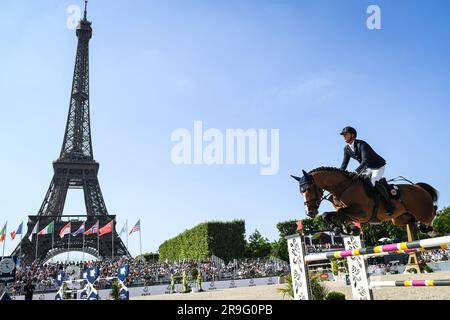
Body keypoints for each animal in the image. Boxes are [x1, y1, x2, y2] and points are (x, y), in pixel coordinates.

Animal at [290, 166, 438, 236]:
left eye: (308, 189)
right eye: (301, 192)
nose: (310, 213)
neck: (343, 188)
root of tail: (418, 187)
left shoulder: (362, 213)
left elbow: (341, 213)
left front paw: (347, 230)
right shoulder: (351, 215)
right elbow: (328, 215)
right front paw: (345, 229)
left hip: (423, 211)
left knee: (432, 213)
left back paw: (430, 230)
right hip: (398, 219)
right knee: (411, 220)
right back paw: (420, 227)